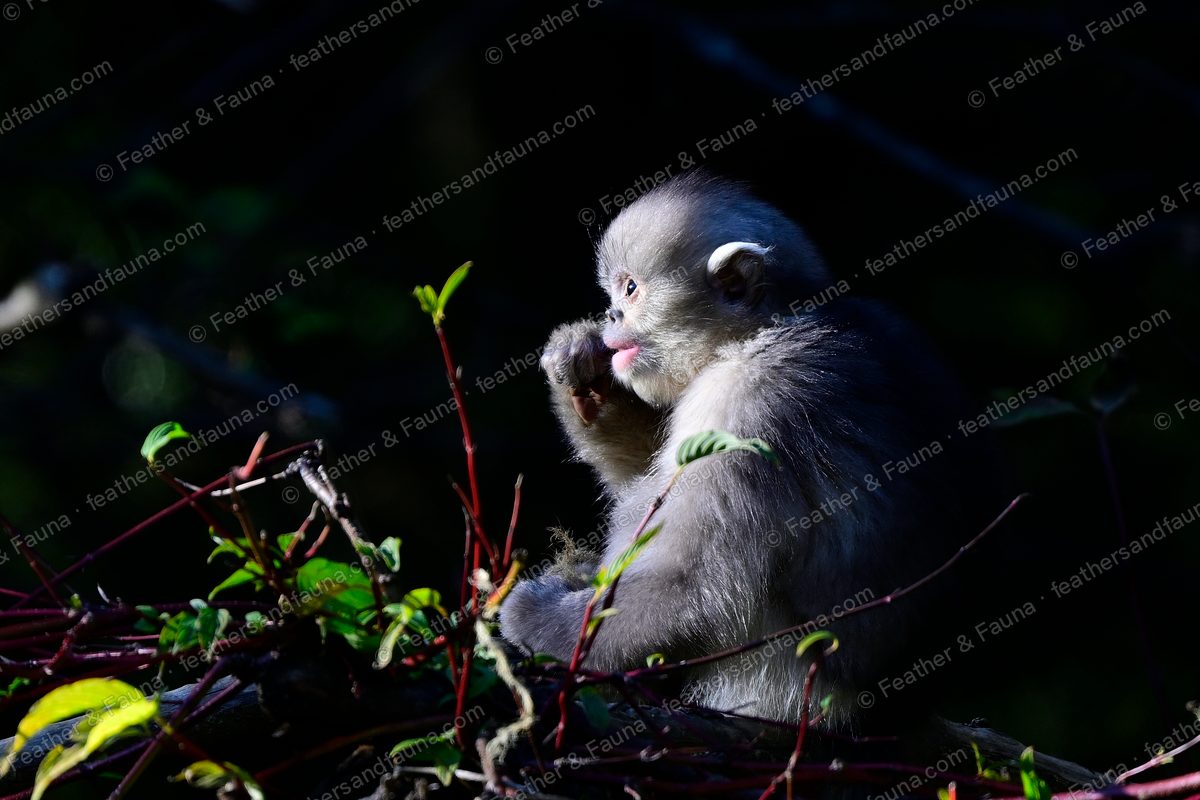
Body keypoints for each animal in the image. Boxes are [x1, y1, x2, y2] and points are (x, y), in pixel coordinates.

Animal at [500, 172, 996, 726]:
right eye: (614, 293)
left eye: (631, 288)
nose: (611, 313)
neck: (762, 334)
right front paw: (583, 377)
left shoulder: (745, 408)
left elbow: (690, 586)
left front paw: (537, 623)